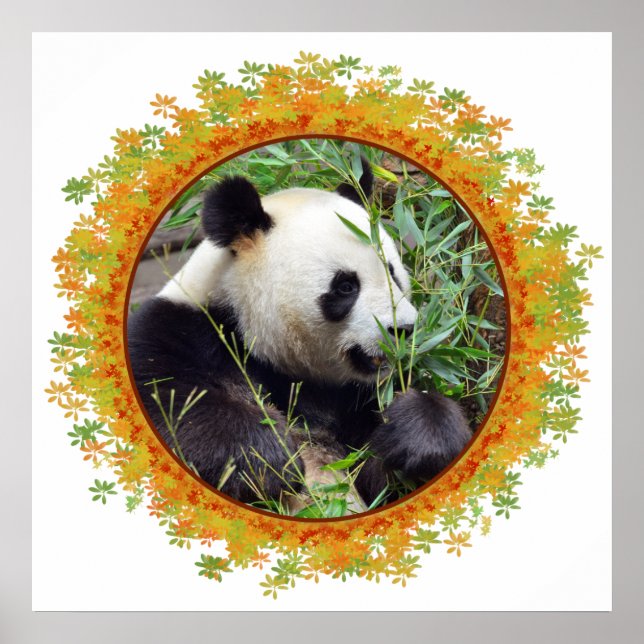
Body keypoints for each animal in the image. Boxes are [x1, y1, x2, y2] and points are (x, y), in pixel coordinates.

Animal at [127, 160, 472, 510]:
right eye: (345, 286)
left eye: (393, 273)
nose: (402, 330)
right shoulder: (183, 333)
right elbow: (173, 404)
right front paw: (267, 458)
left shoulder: (359, 401)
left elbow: (382, 477)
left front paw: (420, 434)